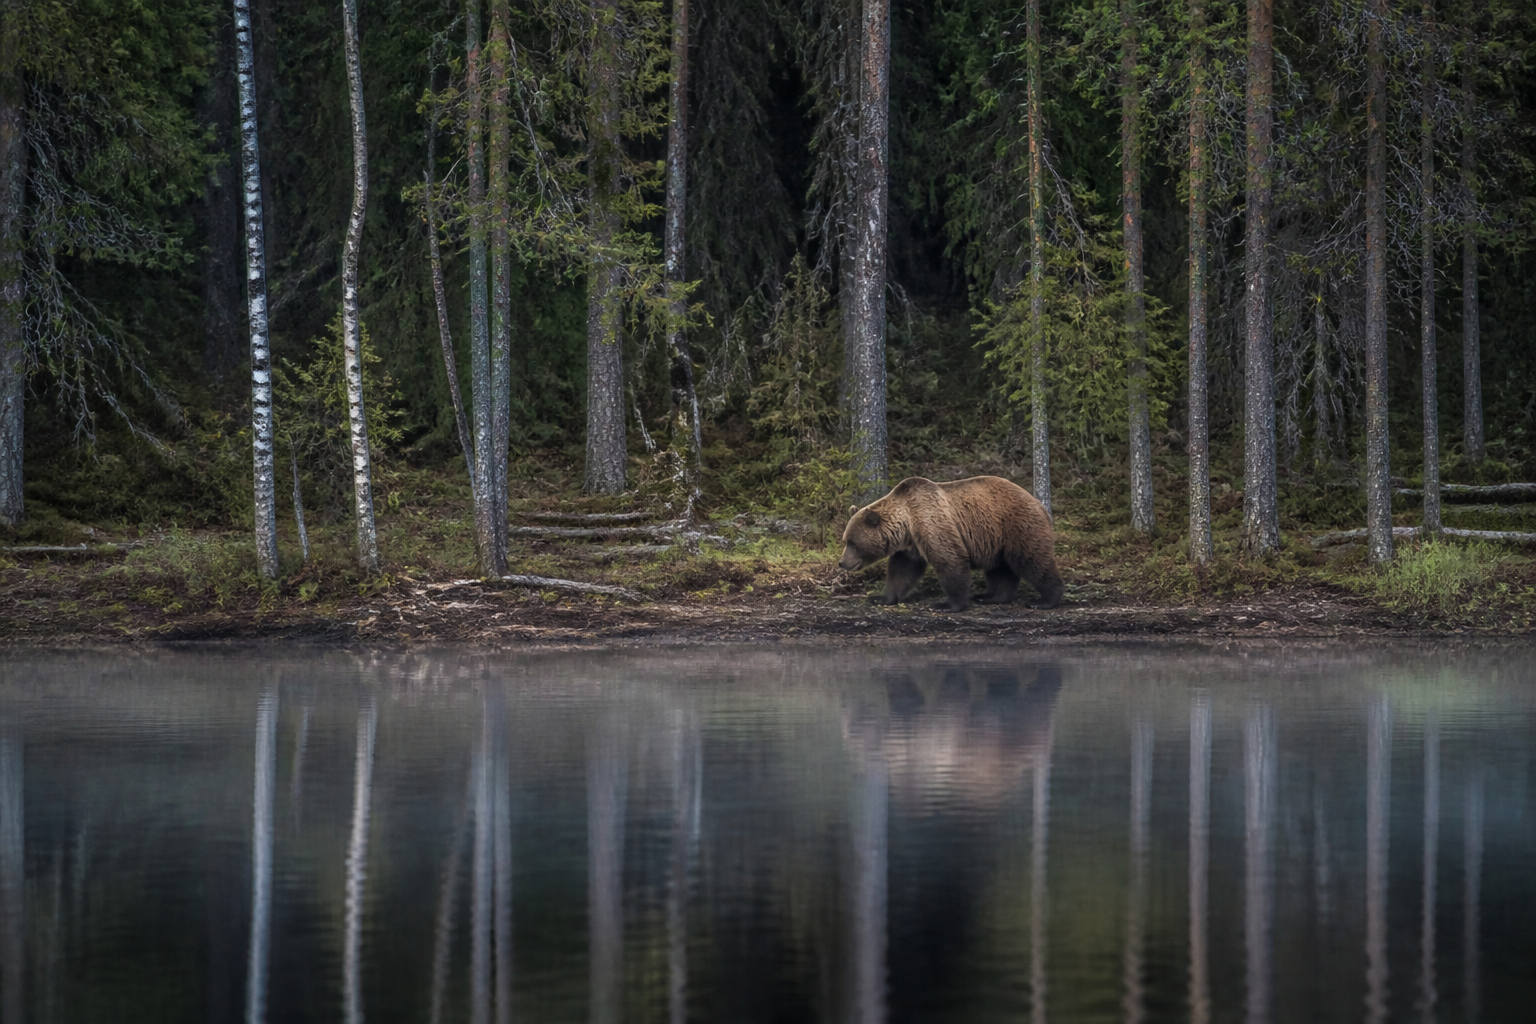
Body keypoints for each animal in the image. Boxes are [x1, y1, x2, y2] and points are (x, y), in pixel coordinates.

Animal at [838, 476, 1063, 612]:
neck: (907, 525)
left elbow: (950, 560)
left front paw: (948, 604)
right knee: (1000, 569)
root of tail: (1040, 504)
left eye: (852, 543)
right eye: (845, 540)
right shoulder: (910, 547)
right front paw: (881, 598)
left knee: (1033, 561)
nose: (842, 562)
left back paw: (1045, 600)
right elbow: (901, 571)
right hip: (996, 539)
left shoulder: (932, 523)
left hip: (1017, 526)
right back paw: (990, 597)